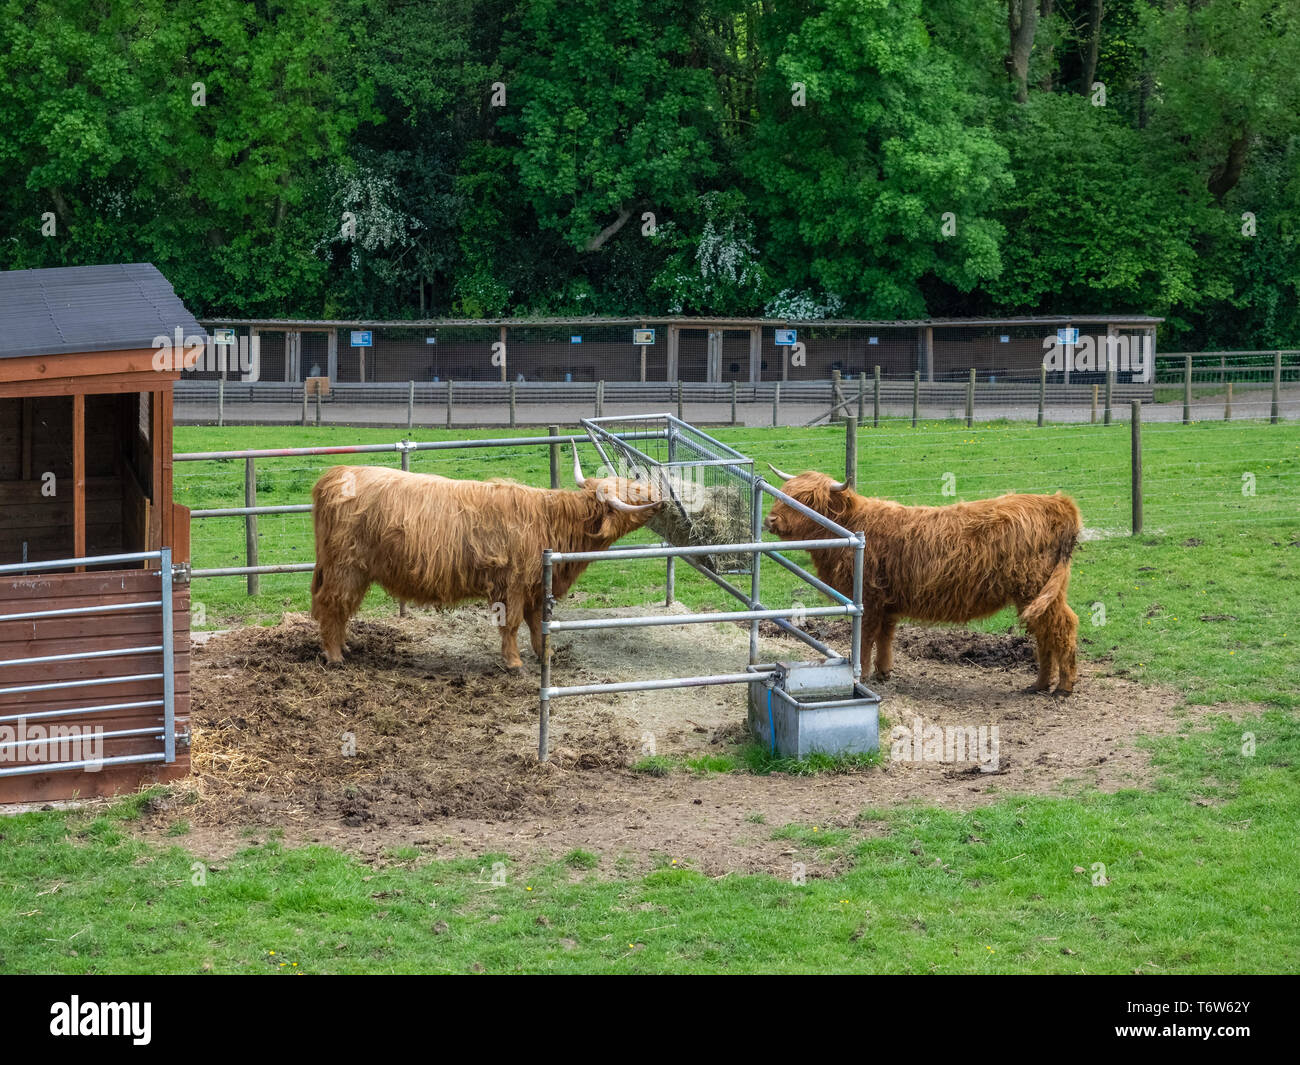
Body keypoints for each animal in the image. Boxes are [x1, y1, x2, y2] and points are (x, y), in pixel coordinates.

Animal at [309, 449, 662, 671]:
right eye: (632, 493)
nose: (658, 493)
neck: (554, 522)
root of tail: (338, 474)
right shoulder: (513, 584)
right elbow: (513, 623)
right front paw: (514, 663)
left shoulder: (537, 585)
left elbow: (538, 624)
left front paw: (544, 655)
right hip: (346, 567)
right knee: (333, 603)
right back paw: (335, 656)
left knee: (339, 607)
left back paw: (344, 647)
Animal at [763, 467, 1083, 694]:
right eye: (783, 492)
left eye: (807, 500)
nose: (771, 520)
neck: (850, 527)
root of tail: (1055, 502)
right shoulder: (887, 602)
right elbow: (886, 636)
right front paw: (884, 672)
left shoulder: (868, 598)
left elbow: (865, 638)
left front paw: (862, 673)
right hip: (1041, 593)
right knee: (1045, 633)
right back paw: (1040, 684)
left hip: (1034, 589)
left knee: (1062, 627)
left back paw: (1063, 687)